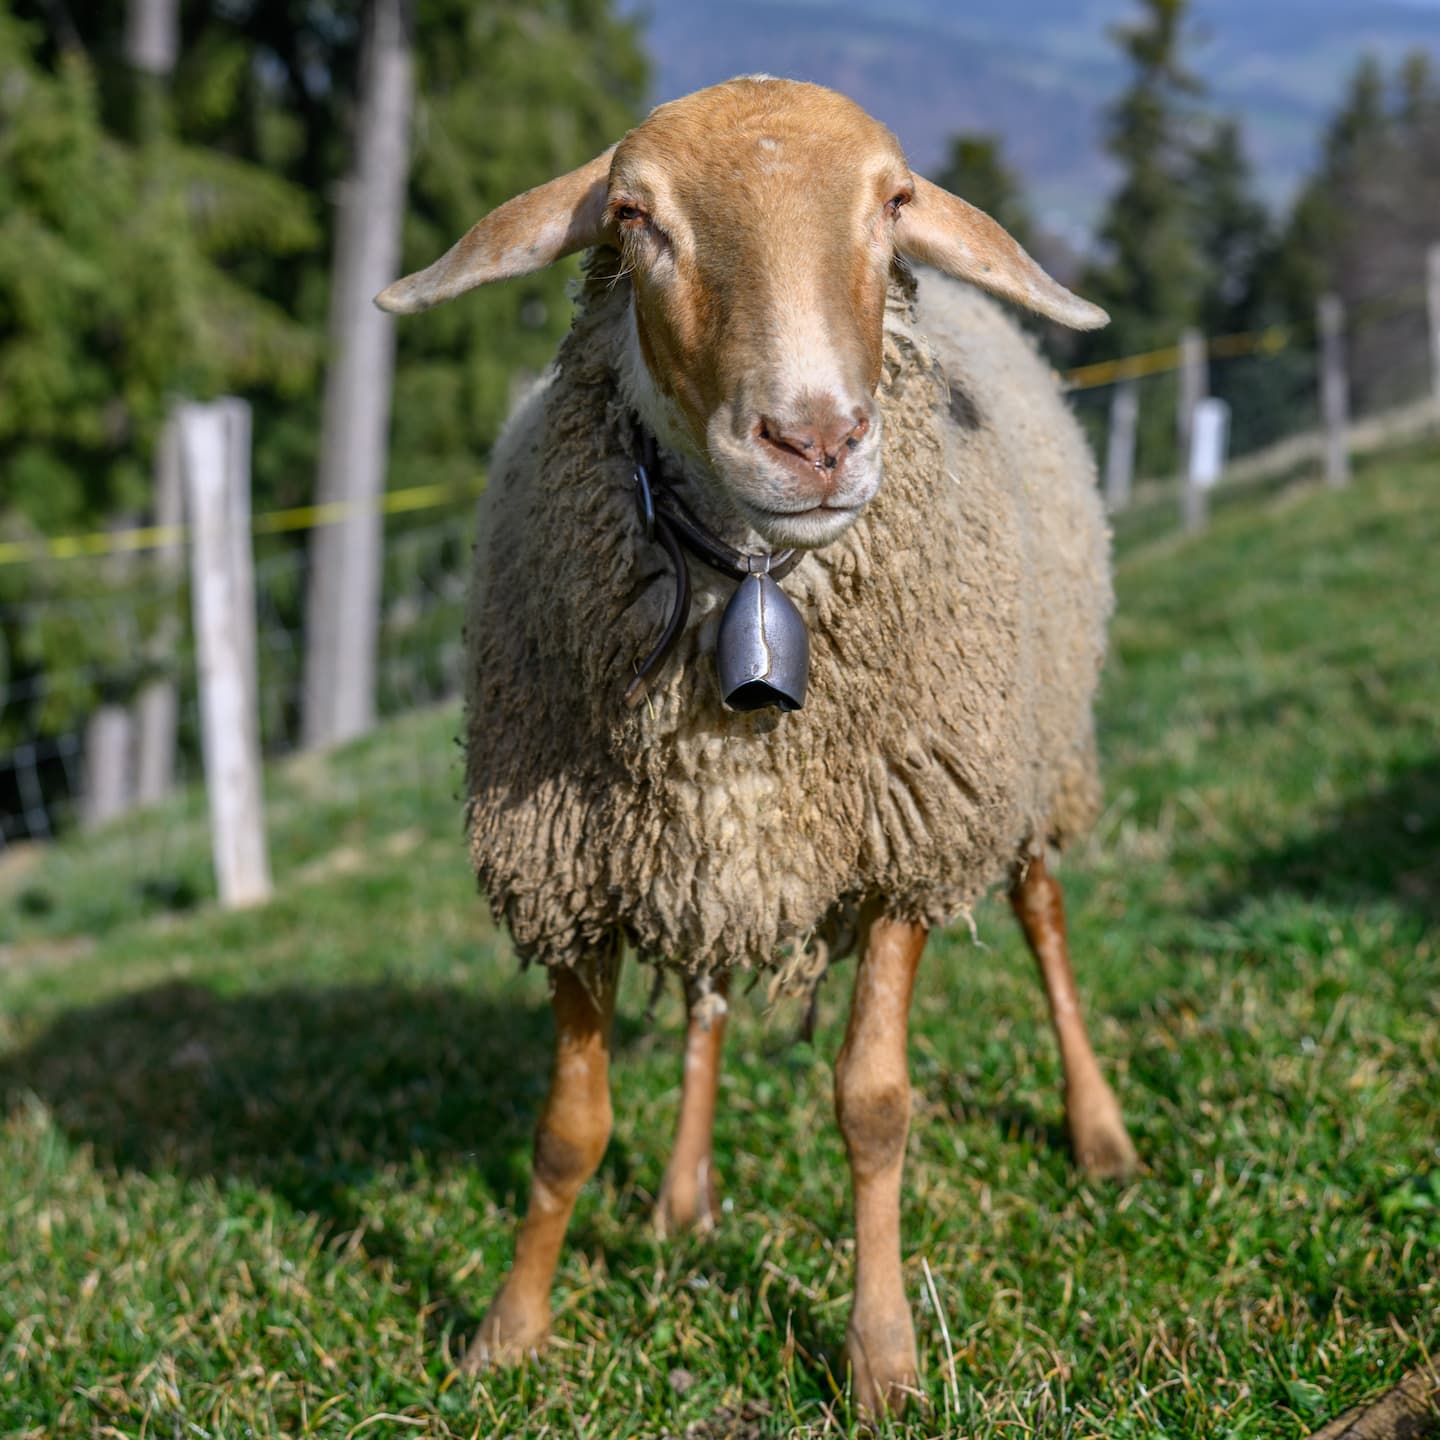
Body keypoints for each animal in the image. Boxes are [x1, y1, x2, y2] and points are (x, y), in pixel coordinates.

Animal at [377, 75, 1138, 1415]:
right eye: (635, 217)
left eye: (894, 204)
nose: (817, 440)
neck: (754, 579)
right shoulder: (572, 865)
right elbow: (569, 1130)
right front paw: (508, 1334)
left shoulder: (905, 837)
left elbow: (874, 1107)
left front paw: (881, 1356)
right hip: (704, 853)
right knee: (709, 998)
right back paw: (683, 1198)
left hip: (1027, 757)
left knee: (1043, 912)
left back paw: (1097, 1130)